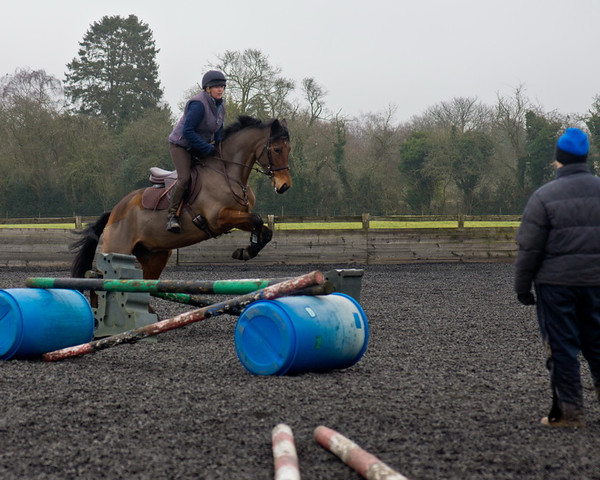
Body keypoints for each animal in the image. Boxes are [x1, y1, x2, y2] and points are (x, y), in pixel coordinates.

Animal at [71, 116, 292, 280]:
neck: (227, 173)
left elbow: (264, 229)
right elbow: (257, 219)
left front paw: (247, 250)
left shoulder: (236, 217)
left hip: (154, 256)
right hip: (118, 250)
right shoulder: (218, 219)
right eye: (276, 149)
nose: (284, 186)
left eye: (289, 149)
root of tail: (114, 212)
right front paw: (247, 249)